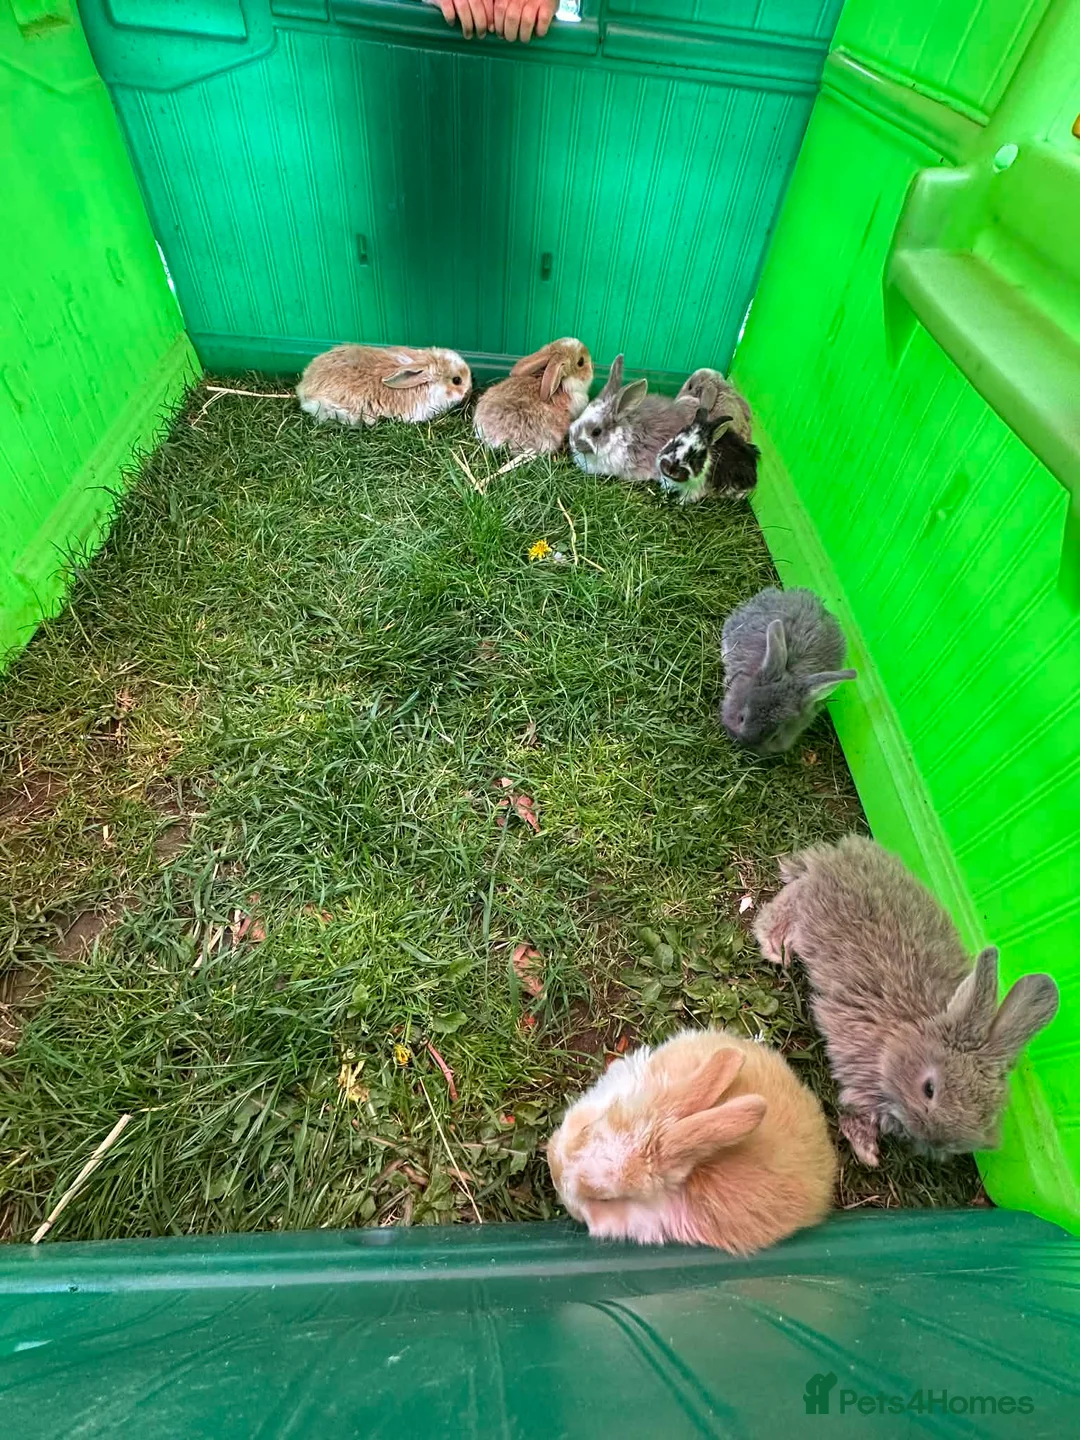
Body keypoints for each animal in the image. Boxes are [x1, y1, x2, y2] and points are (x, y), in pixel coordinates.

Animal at [754, 835, 1060, 1168]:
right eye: (929, 1089)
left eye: (984, 1119)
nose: (934, 1140)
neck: (905, 1033)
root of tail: (840, 853)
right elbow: (856, 1110)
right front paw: (867, 1152)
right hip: (812, 908)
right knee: (793, 895)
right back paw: (775, 945)